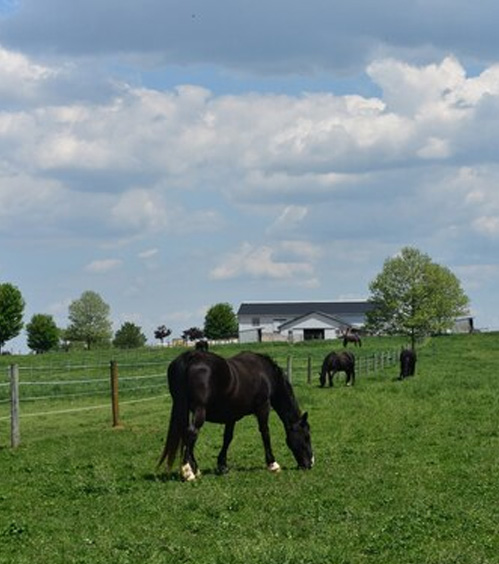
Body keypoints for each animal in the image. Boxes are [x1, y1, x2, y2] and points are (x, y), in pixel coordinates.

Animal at [158, 348, 314, 480]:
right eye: (306, 437)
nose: (310, 464)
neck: (266, 374)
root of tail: (190, 357)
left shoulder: (231, 416)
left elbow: (227, 438)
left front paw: (222, 466)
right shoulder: (263, 407)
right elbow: (265, 433)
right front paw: (273, 464)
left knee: (187, 435)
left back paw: (195, 469)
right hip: (199, 410)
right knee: (191, 433)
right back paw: (188, 472)